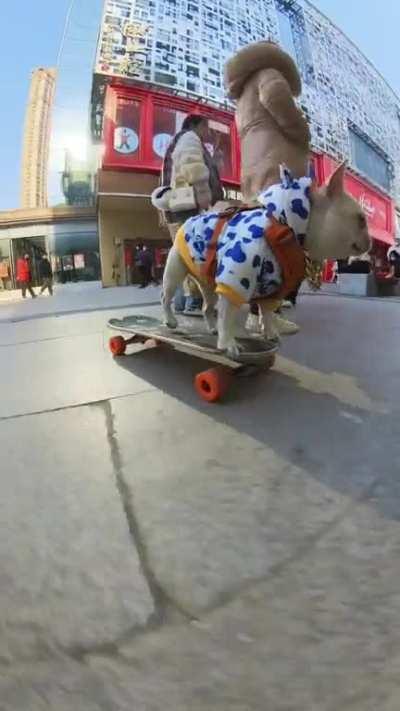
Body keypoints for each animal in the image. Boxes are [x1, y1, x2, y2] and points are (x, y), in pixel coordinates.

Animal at [161, 164, 370, 358]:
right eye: (361, 220)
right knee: (167, 296)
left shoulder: (274, 286)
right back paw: (170, 320)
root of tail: (191, 219)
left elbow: (268, 313)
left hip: (209, 284)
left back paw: (212, 328)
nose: (370, 241)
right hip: (175, 271)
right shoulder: (236, 277)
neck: (285, 225)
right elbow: (228, 315)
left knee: (208, 307)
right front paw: (228, 343)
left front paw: (271, 333)